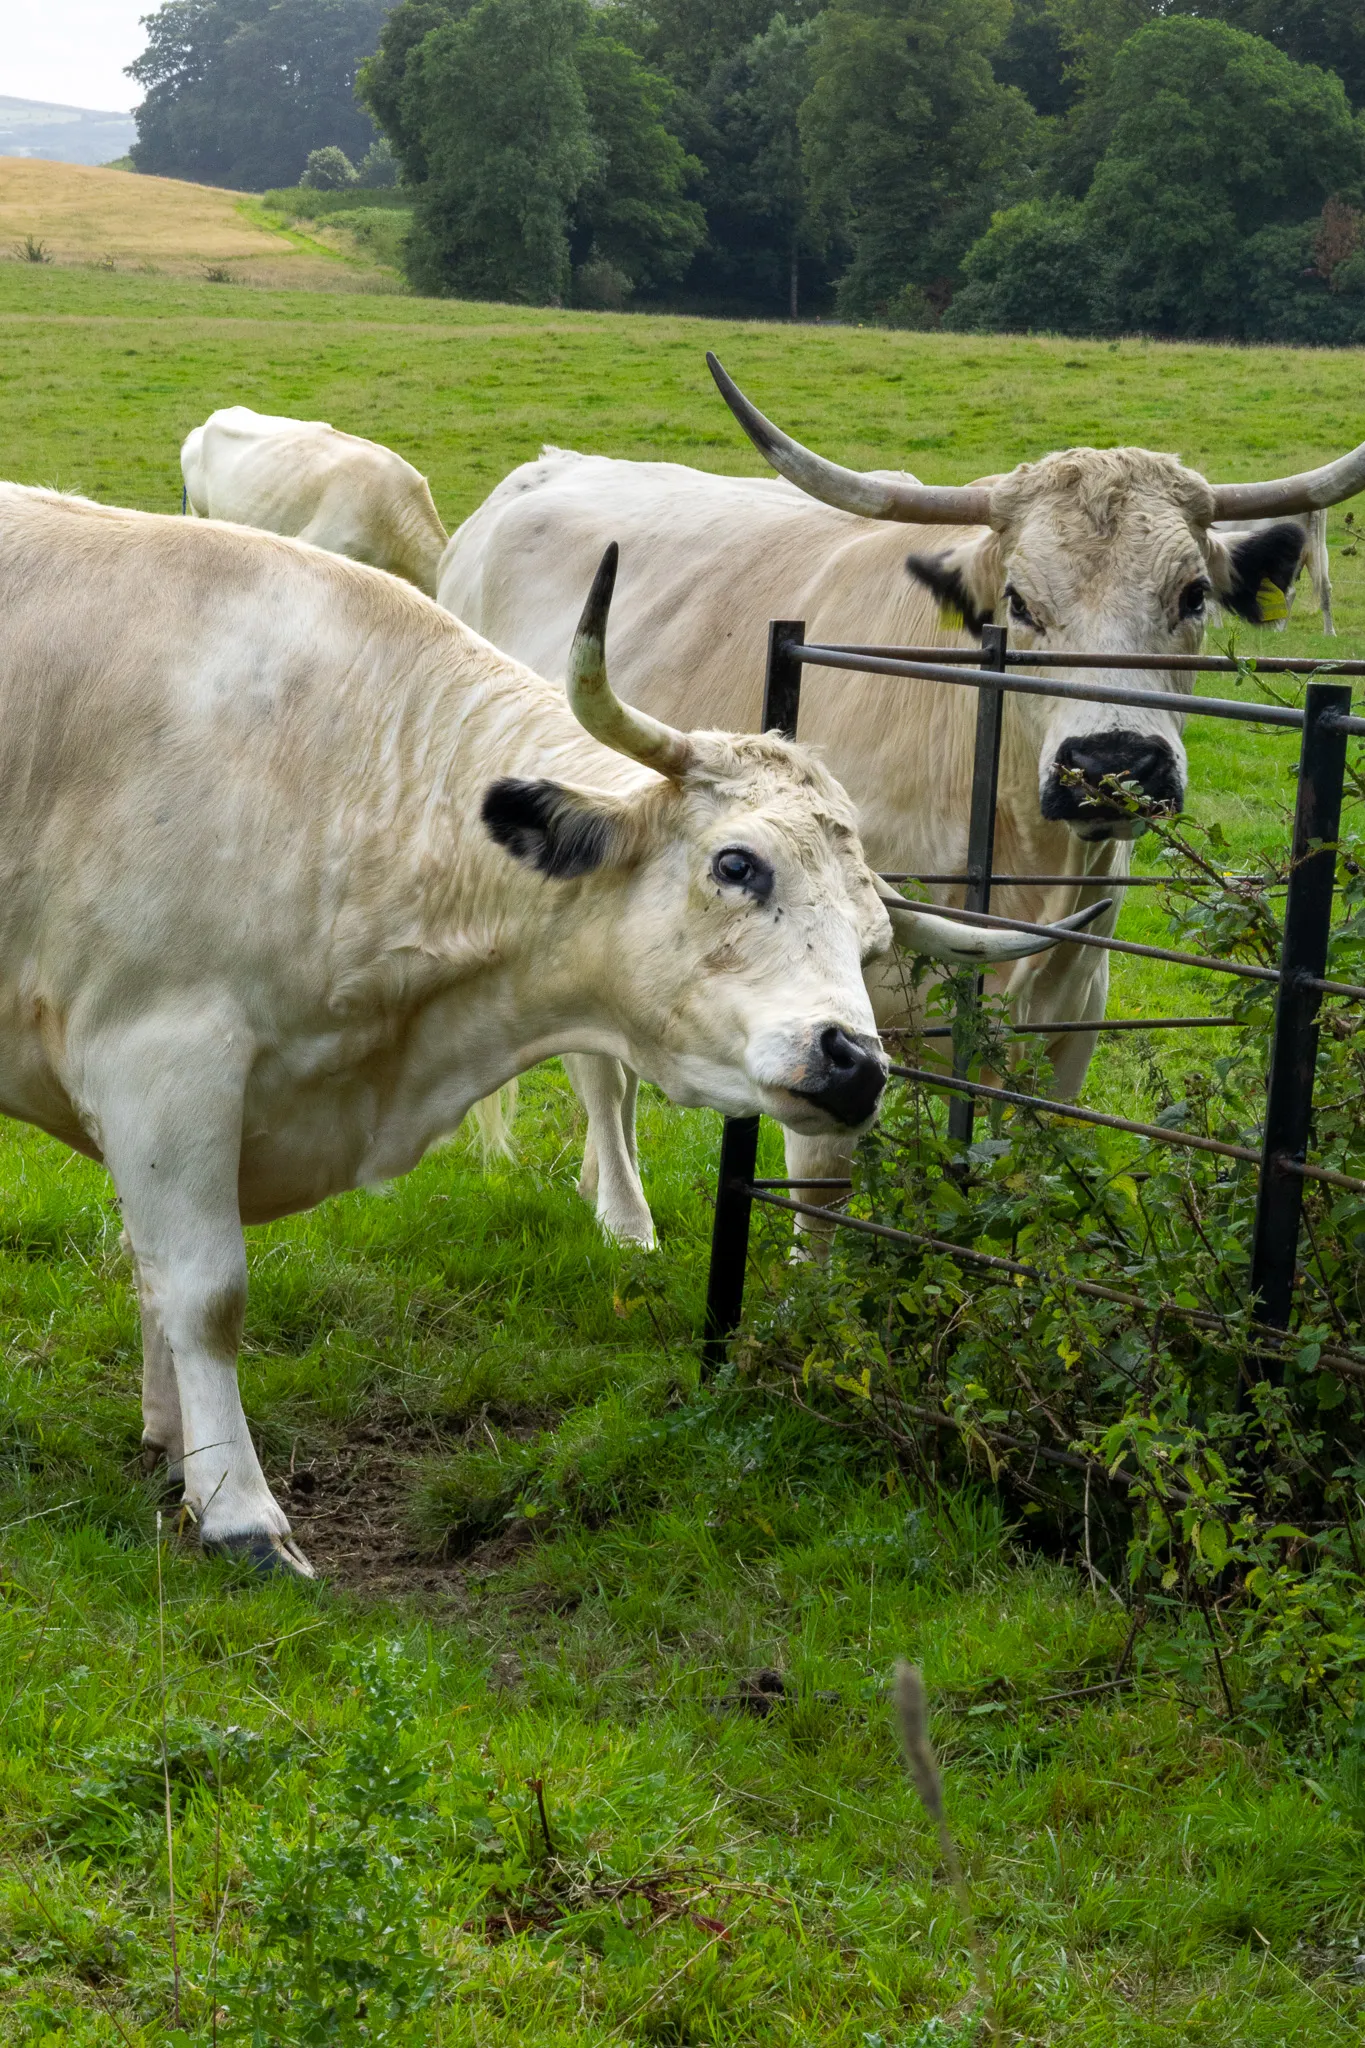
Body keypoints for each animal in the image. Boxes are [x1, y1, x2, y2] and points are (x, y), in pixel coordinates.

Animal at [0, 486, 1095, 1575]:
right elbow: (203, 1290)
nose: (855, 1063)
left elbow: (155, 1276)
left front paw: (174, 1445)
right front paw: (238, 1509)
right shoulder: (163, 1059)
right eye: (737, 863)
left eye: (873, 938)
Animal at [438, 353, 1365, 1248]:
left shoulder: (1067, 1022)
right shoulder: (829, 1022)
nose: (1110, 762)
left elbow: (1021, 1196)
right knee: (599, 1072)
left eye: (1192, 595)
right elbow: (822, 1200)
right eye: (1018, 602)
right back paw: (627, 1221)